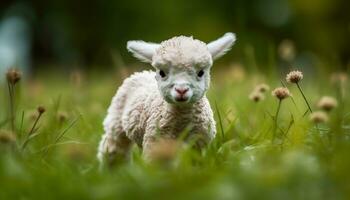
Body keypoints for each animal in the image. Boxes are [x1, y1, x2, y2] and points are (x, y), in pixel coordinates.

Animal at [97, 32, 237, 164]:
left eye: (201, 72)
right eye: (162, 73)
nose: (181, 90)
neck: (182, 121)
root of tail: (143, 73)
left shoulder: (198, 143)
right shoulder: (156, 143)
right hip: (116, 121)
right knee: (114, 149)